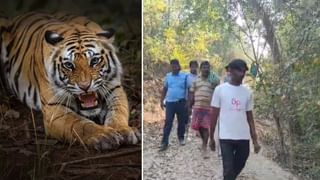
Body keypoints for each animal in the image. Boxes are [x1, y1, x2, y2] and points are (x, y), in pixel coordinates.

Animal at [0, 11, 140, 150]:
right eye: (69, 65)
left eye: (94, 61)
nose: (85, 86)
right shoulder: (55, 110)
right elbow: (80, 125)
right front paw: (104, 135)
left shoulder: (115, 90)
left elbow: (118, 112)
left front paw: (123, 130)